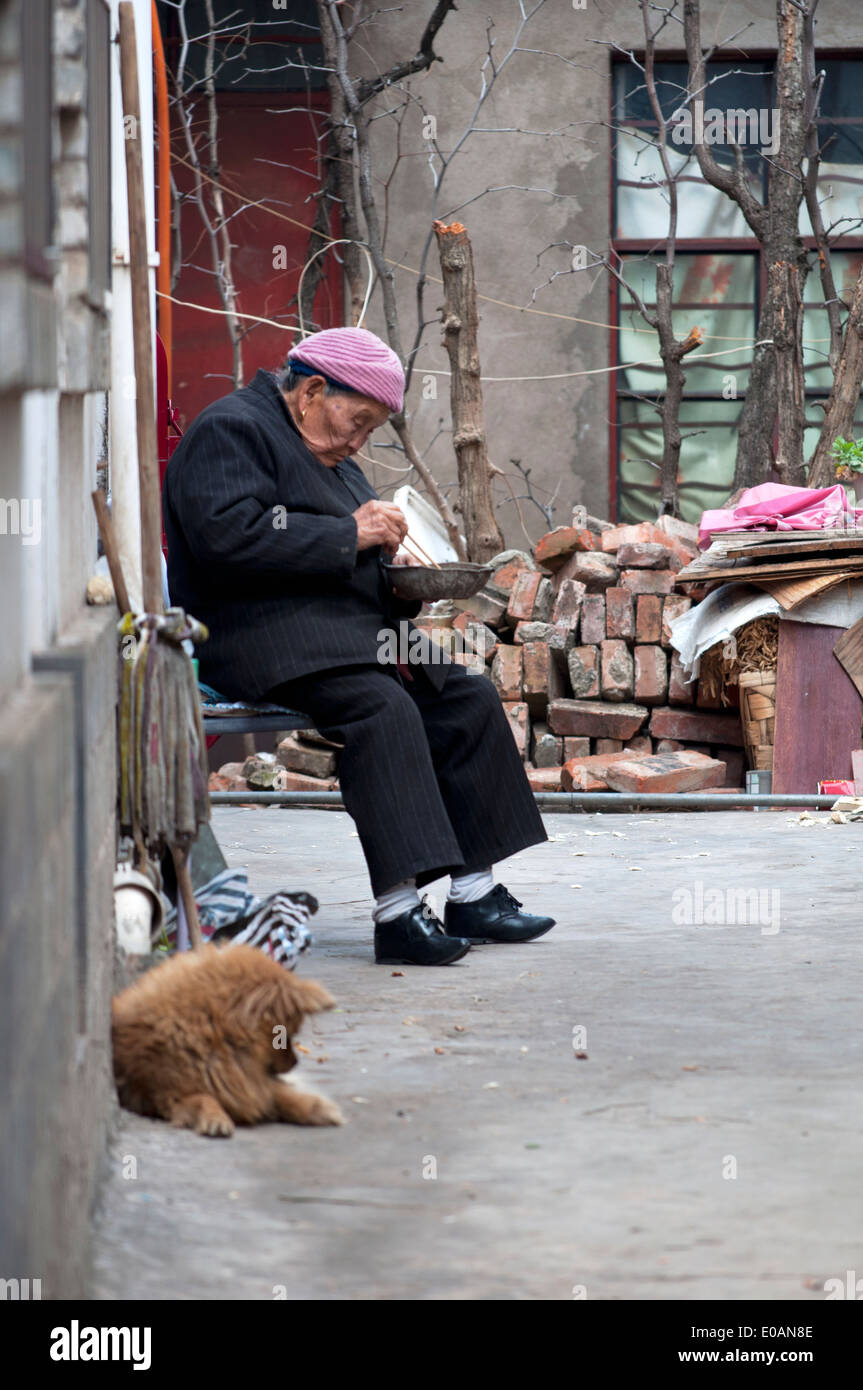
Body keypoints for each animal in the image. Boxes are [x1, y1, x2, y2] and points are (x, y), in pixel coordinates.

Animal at [111, 945, 343, 1139]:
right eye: (284, 1036)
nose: (296, 1062)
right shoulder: (169, 1095)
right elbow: (204, 1098)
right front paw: (215, 1118)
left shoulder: (250, 1080)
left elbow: (280, 1095)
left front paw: (318, 1108)